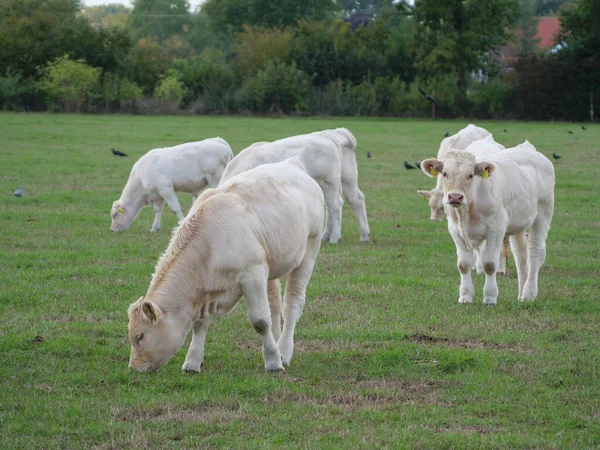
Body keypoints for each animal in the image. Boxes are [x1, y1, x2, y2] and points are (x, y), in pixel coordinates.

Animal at [126, 158, 324, 372]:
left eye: (139, 336)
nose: (134, 368)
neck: (209, 243)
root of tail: (292, 162)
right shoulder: (205, 293)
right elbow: (199, 324)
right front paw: (193, 361)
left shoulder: (253, 276)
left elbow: (261, 321)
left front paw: (273, 362)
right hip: (271, 266)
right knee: (275, 305)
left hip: (309, 250)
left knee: (292, 304)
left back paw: (284, 352)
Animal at [220, 128, 370, 244]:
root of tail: (331, 136)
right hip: (347, 178)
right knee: (355, 200)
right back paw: (361, 235)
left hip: (328, 181)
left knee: (335, 205)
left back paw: (334, 237)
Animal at [422, 140, 552, 302]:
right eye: (445, 173)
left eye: (470, 175)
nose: (455, 197)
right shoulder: (455, 231)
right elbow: (463, 264)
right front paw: (465, 296)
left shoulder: (495, 230)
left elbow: (489, 264)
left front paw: (490, 297)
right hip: (518, 223)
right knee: (520, 255)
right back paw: (521, 293)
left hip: (543, 213)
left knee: (535, 251)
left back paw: (529, 293)